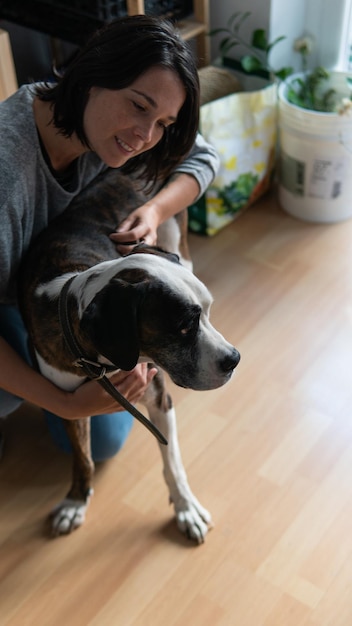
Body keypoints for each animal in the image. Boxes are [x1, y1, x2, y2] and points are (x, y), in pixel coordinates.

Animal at [18, 167, 239, 540]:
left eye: (206, 313)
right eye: (184, 327)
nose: (234, 359)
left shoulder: (159, 396)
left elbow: (172, 460)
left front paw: (186, 508)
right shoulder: (68, 405)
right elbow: (84, 457)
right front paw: (76, 501)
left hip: (175, 237)